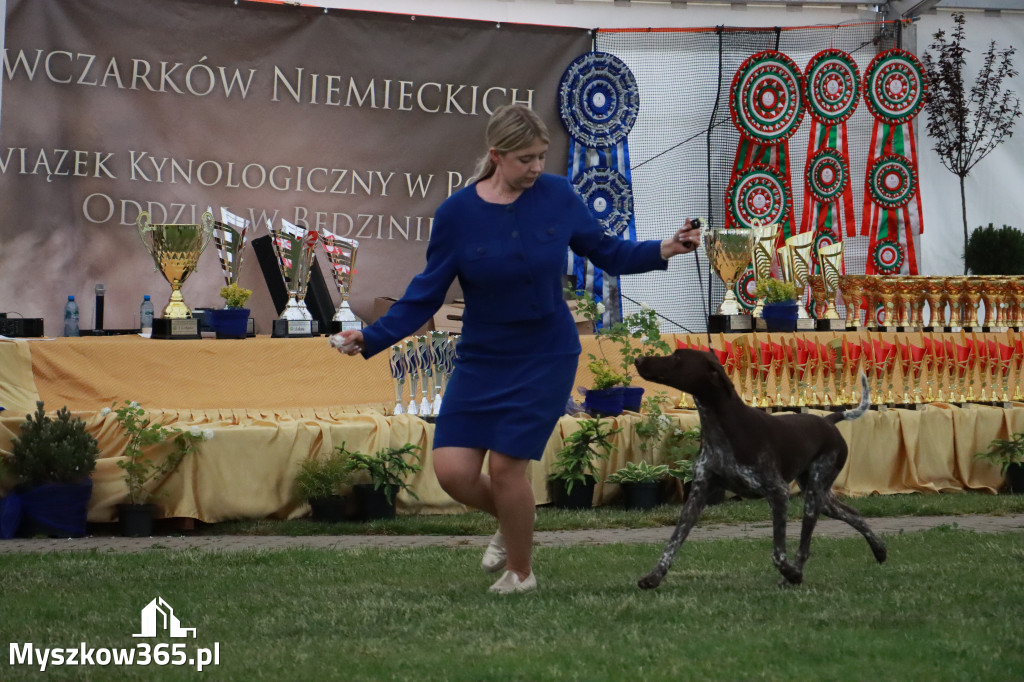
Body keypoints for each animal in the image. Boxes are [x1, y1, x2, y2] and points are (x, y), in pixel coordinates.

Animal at [634, 348, 884, 585]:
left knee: (805, 546)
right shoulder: (697, 496)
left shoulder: (778, 493)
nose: (638, 360)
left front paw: (791, 573)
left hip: (814, 495)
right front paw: (654, 576)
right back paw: (880, 550)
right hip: (821, 496)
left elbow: (778, 554)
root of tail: (828, 421)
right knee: (853, 514)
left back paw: (793, 576)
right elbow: (673, 543)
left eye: (676, 357)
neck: (724, 426)